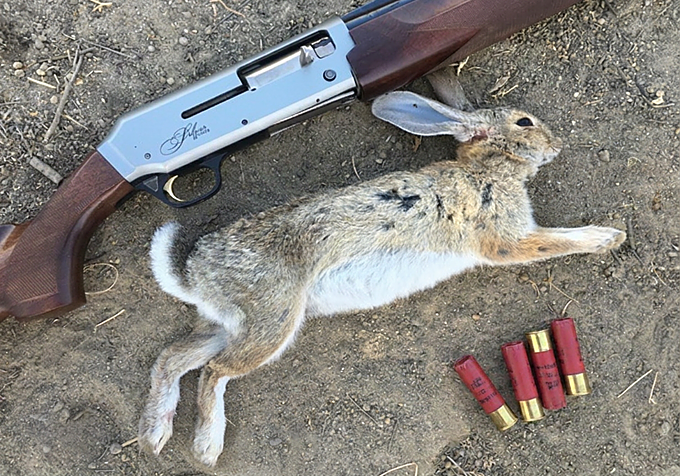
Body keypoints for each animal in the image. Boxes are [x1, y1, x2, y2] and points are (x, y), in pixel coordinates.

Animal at [138, 82, 626, 466]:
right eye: (524, 122)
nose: (557, 144)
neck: (486, 168)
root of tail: (193, 273)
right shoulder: (506, 240)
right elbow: (556, 241)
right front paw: (608, 236)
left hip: (228, 323)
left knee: (172, 359)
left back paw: (154, 435)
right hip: (271, 321)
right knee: (214, 371)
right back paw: (206, 448)